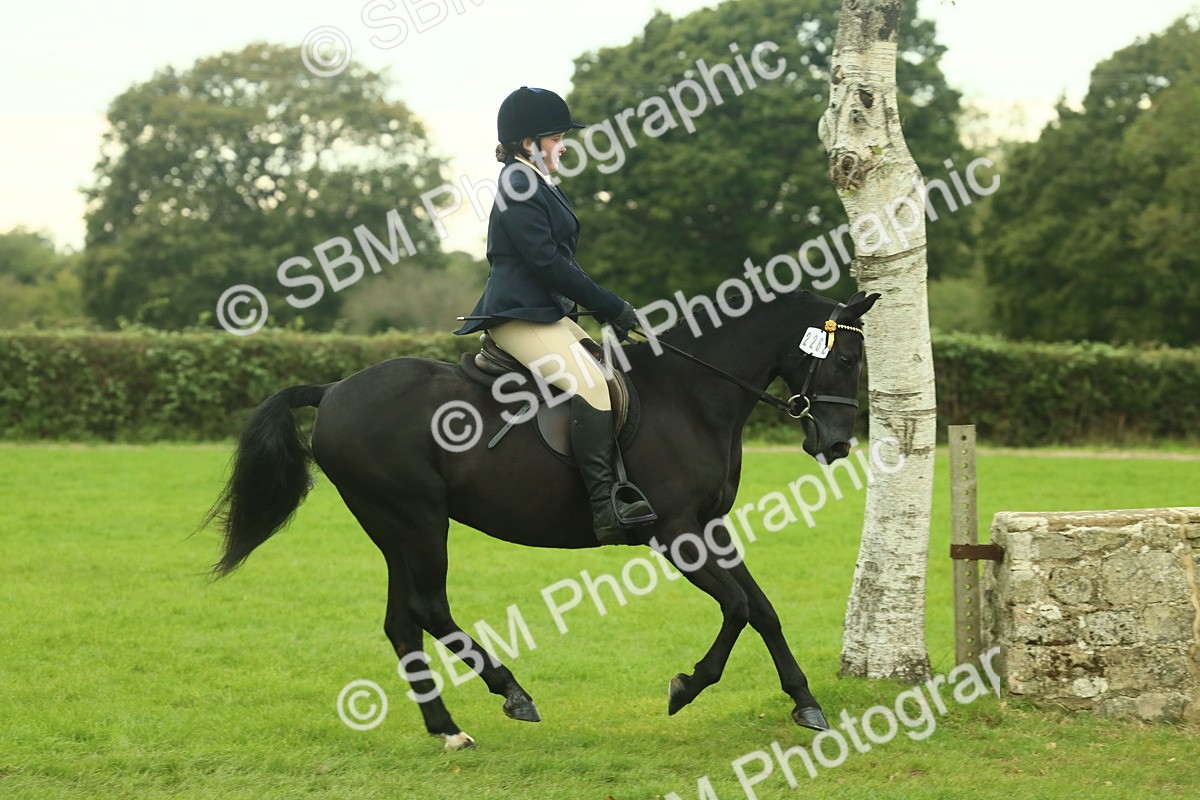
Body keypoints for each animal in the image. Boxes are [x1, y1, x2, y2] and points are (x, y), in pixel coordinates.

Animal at [205, 288, 879, 750]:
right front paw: (686, 687)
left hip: (396, 530)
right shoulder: (675, 532)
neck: (692, 395)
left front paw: (806, 703)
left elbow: (762, 610)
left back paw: (447, 729)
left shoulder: (710, 527)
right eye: (847, 359)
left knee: (403, 622)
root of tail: (333, 390)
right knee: (427, 609)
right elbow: (737, 607)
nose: (837, 445)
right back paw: (512, 692)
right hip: (416, 521)